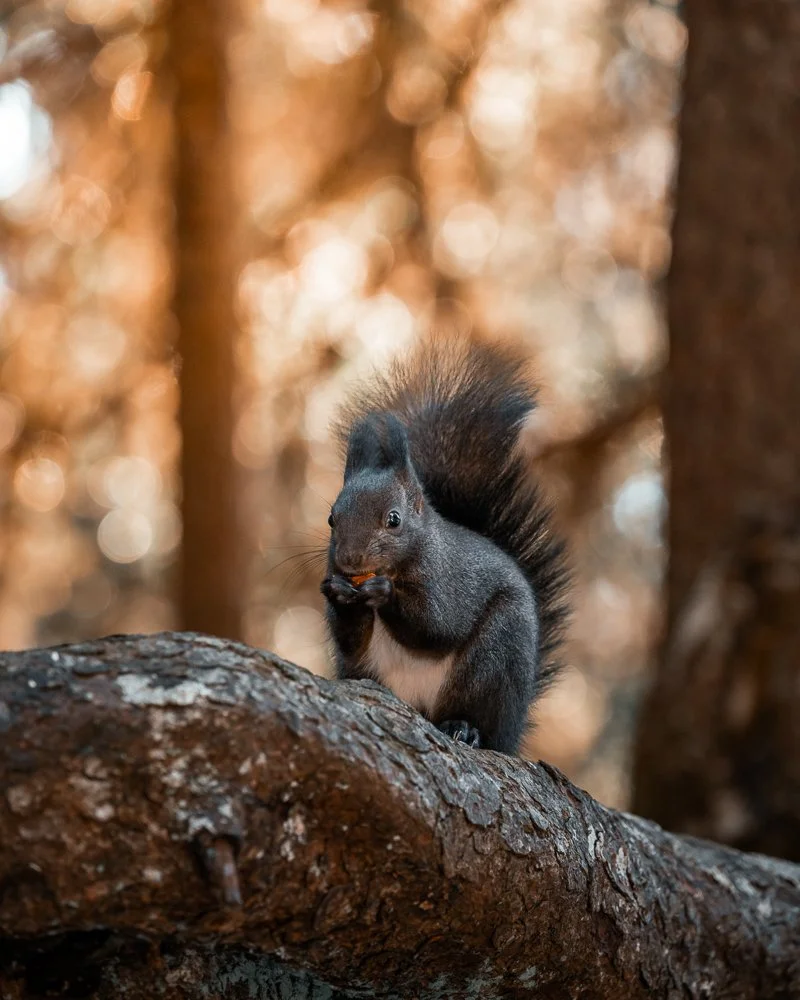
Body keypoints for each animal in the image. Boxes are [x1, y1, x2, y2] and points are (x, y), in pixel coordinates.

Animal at [320, 338, 567, 755]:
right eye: (331, 519)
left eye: (393, 519)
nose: (350, 561)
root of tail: (514, 730)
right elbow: (351, 637)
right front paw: (338, 594)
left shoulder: (448, 579)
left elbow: (438, 626)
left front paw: (384, 593)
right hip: (365, 672)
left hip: (493, 661)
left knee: (478, 717)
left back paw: (464, 728)